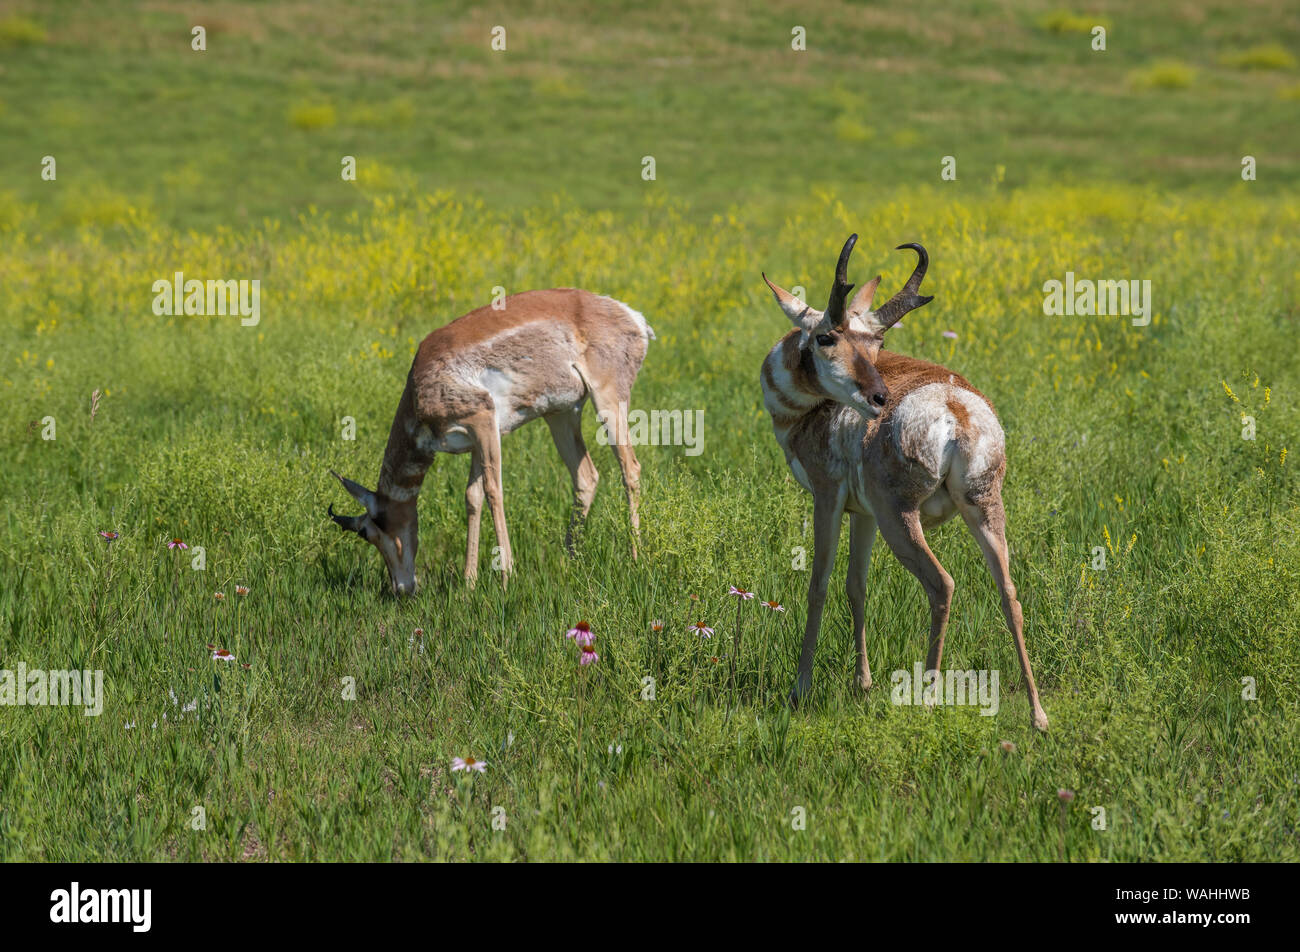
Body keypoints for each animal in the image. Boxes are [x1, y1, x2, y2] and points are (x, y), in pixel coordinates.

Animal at [328, 288, 654, 595]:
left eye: (370, 530)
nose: (401, 589)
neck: (422, 383)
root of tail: (630, 315)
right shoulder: (475, 442)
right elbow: (472, 497)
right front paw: (468, 583)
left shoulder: (484, 421)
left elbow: (494, 490)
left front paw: (506, 577)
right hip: (561, 415)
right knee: (586, 476)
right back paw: (568, 562)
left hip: (608, 402)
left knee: (630, 468)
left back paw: (636, 556)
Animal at [760, 236, 1049, 731]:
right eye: (826, 336)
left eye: (877, 341)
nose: (878, 397)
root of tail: (955, 407)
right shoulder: (864, 515)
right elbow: (856, 585)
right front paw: (863, 683)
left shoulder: (828, 498)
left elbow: (819, 584)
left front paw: (800, 689)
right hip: (983, 510)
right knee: (1009, 594)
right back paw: (1038, 716)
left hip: (902, 520)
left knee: (943, 584)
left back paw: (929, 699)